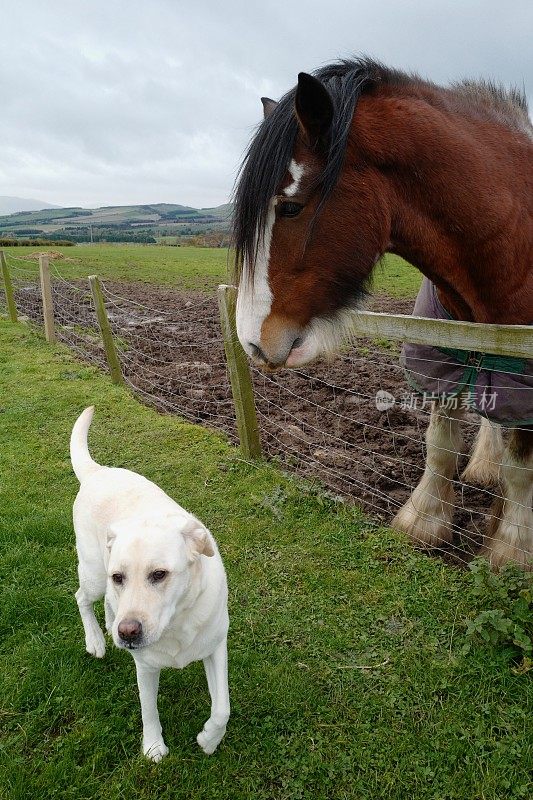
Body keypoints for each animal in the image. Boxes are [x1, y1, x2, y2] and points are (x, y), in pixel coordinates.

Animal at [69, 406, 230, 764]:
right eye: (121, 577)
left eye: (159, 574)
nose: (127, 633)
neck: (176, 623)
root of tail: (98, 471)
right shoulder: (144, 667)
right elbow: (149, 710)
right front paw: (154, 746)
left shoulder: (216, 647)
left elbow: (222, 708)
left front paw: (209, 740)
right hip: (95, 573)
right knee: (81, 597)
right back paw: (96, 639)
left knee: (106, 604)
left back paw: (108, 627)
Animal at [234, 57, 532, 568]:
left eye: (290, 207)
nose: (251, 339)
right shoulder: (444, 355)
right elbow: (440, 445)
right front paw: (424, 523)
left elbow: (522, 469)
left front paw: (511, 553)